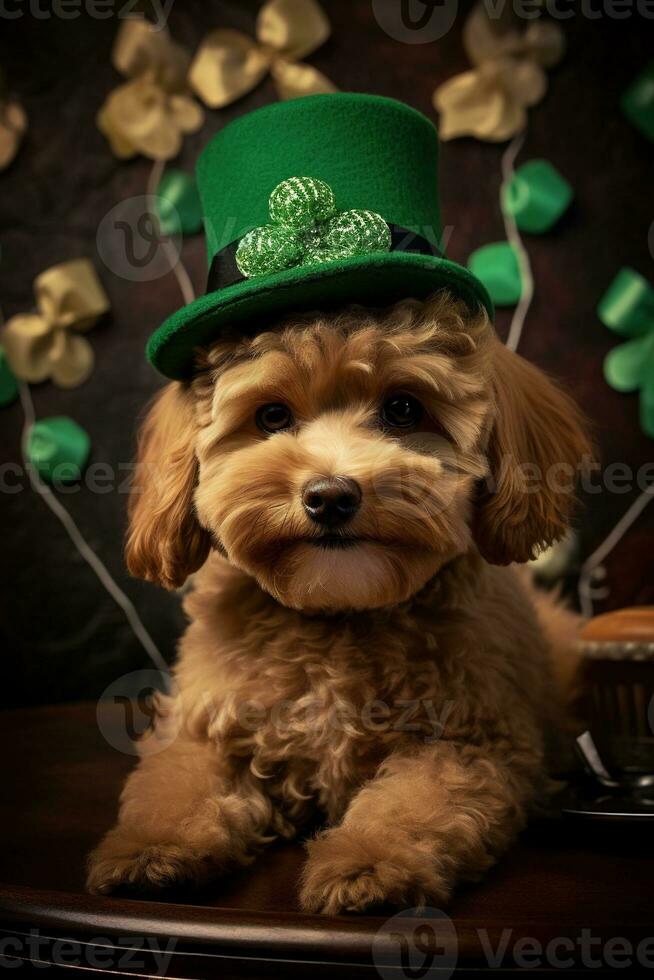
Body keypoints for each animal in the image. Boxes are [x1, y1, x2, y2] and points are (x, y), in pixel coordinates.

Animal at [84, 290, 592, 912]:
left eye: (402, 409)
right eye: (272, 417)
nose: (329, 496)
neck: (336, 616)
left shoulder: (471, 746)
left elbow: (411, 805)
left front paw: (367, 863)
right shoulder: (204, 729)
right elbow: (173, 788)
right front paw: (150, 850)